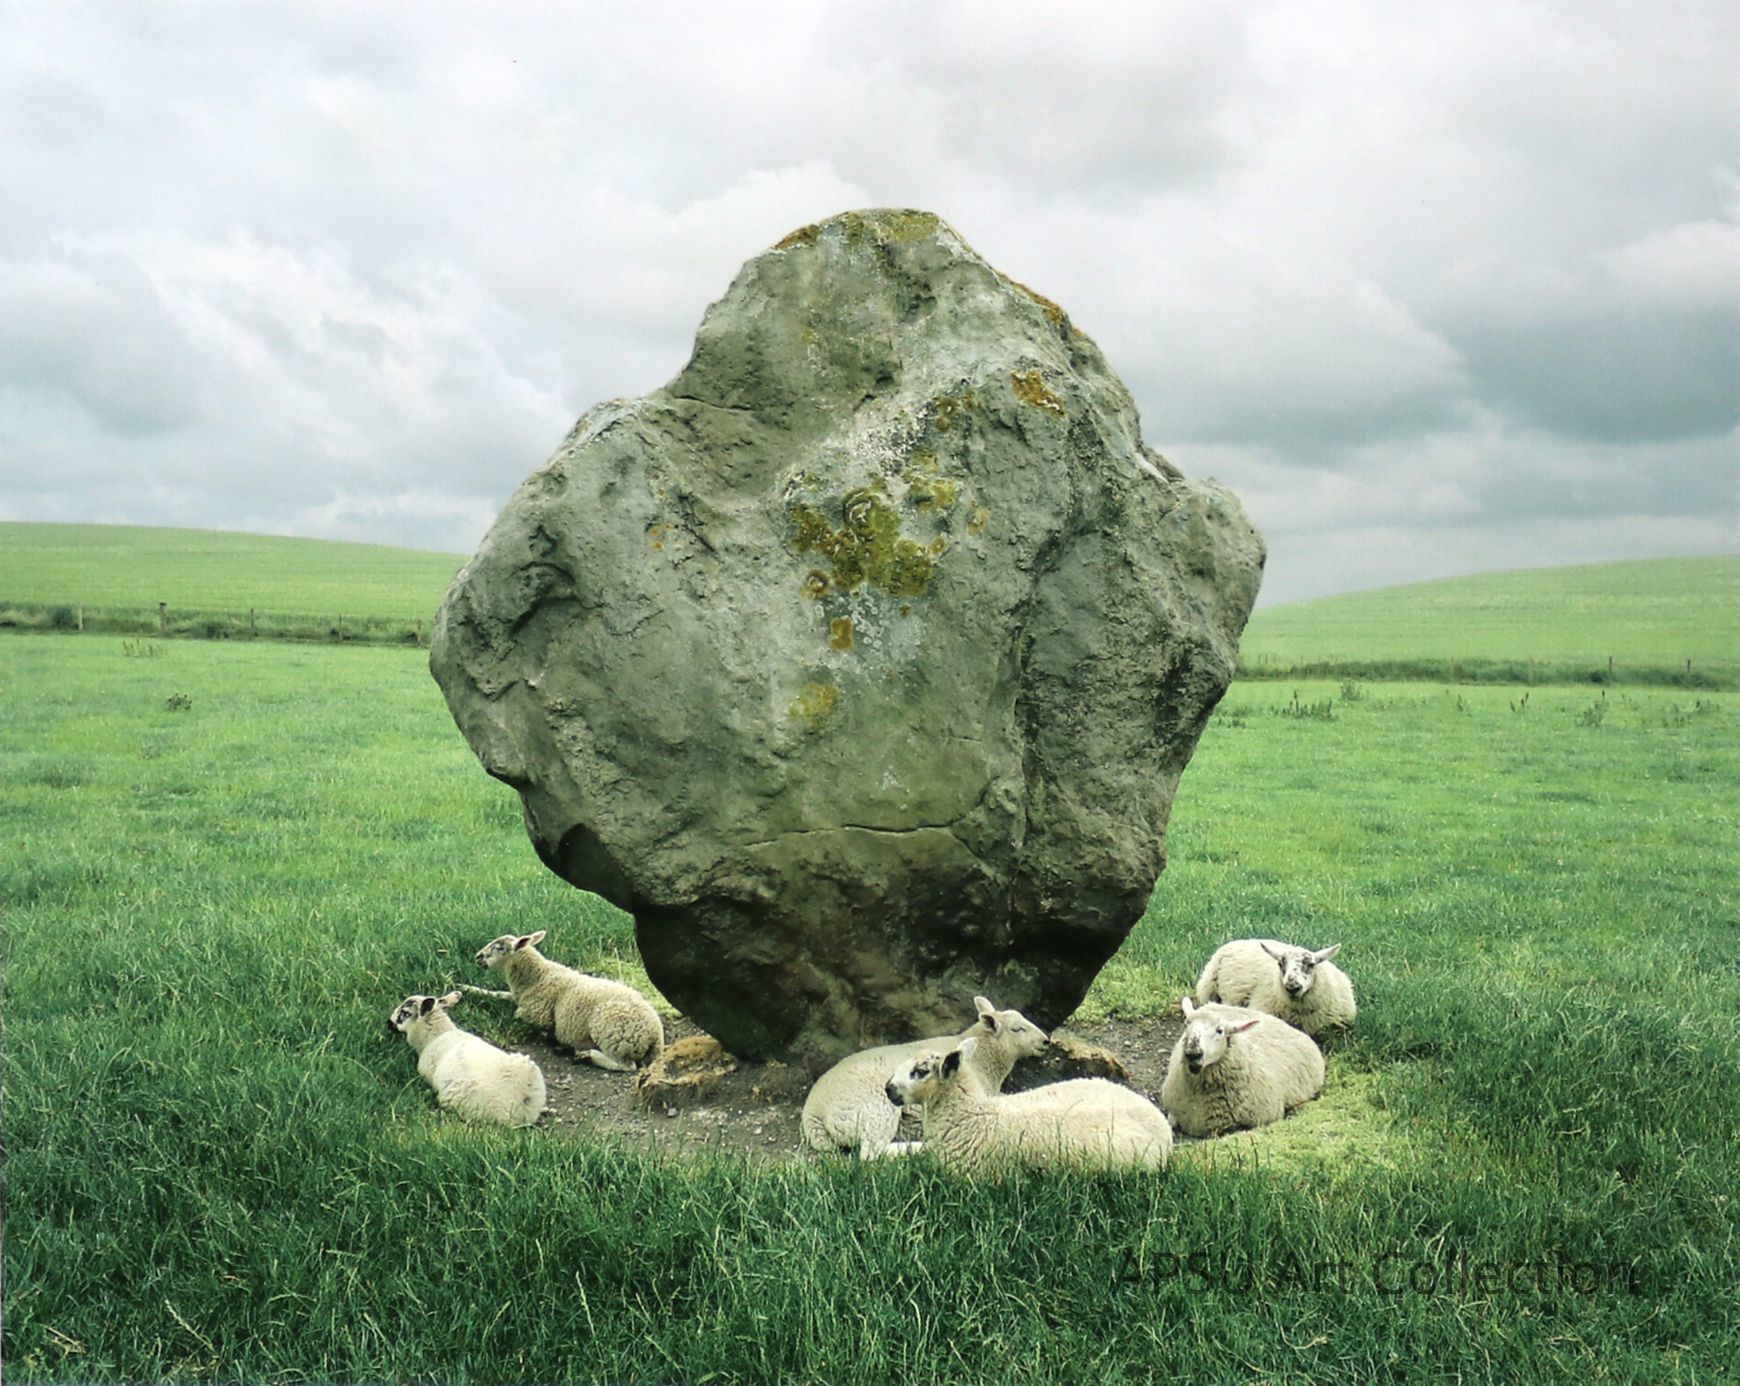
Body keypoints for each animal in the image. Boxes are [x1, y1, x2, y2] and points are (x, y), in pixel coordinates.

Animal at [467, 930, 663, 1071]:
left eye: (500, 947)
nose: (478, 957)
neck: (538, 977)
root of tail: (657, 1037)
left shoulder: (537, 1014)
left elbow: (516, 1014)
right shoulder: (517, 997)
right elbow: (497, 994)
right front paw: (467, 988)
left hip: (615, 1037)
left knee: (626, 1066)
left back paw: (585, 1055)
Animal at [800, 996, 1049, 1159]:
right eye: (1017, 1029)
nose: (1046, 1041)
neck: (984, 1059)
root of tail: (812, 1112)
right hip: (876, 1106)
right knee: (871, 1153)